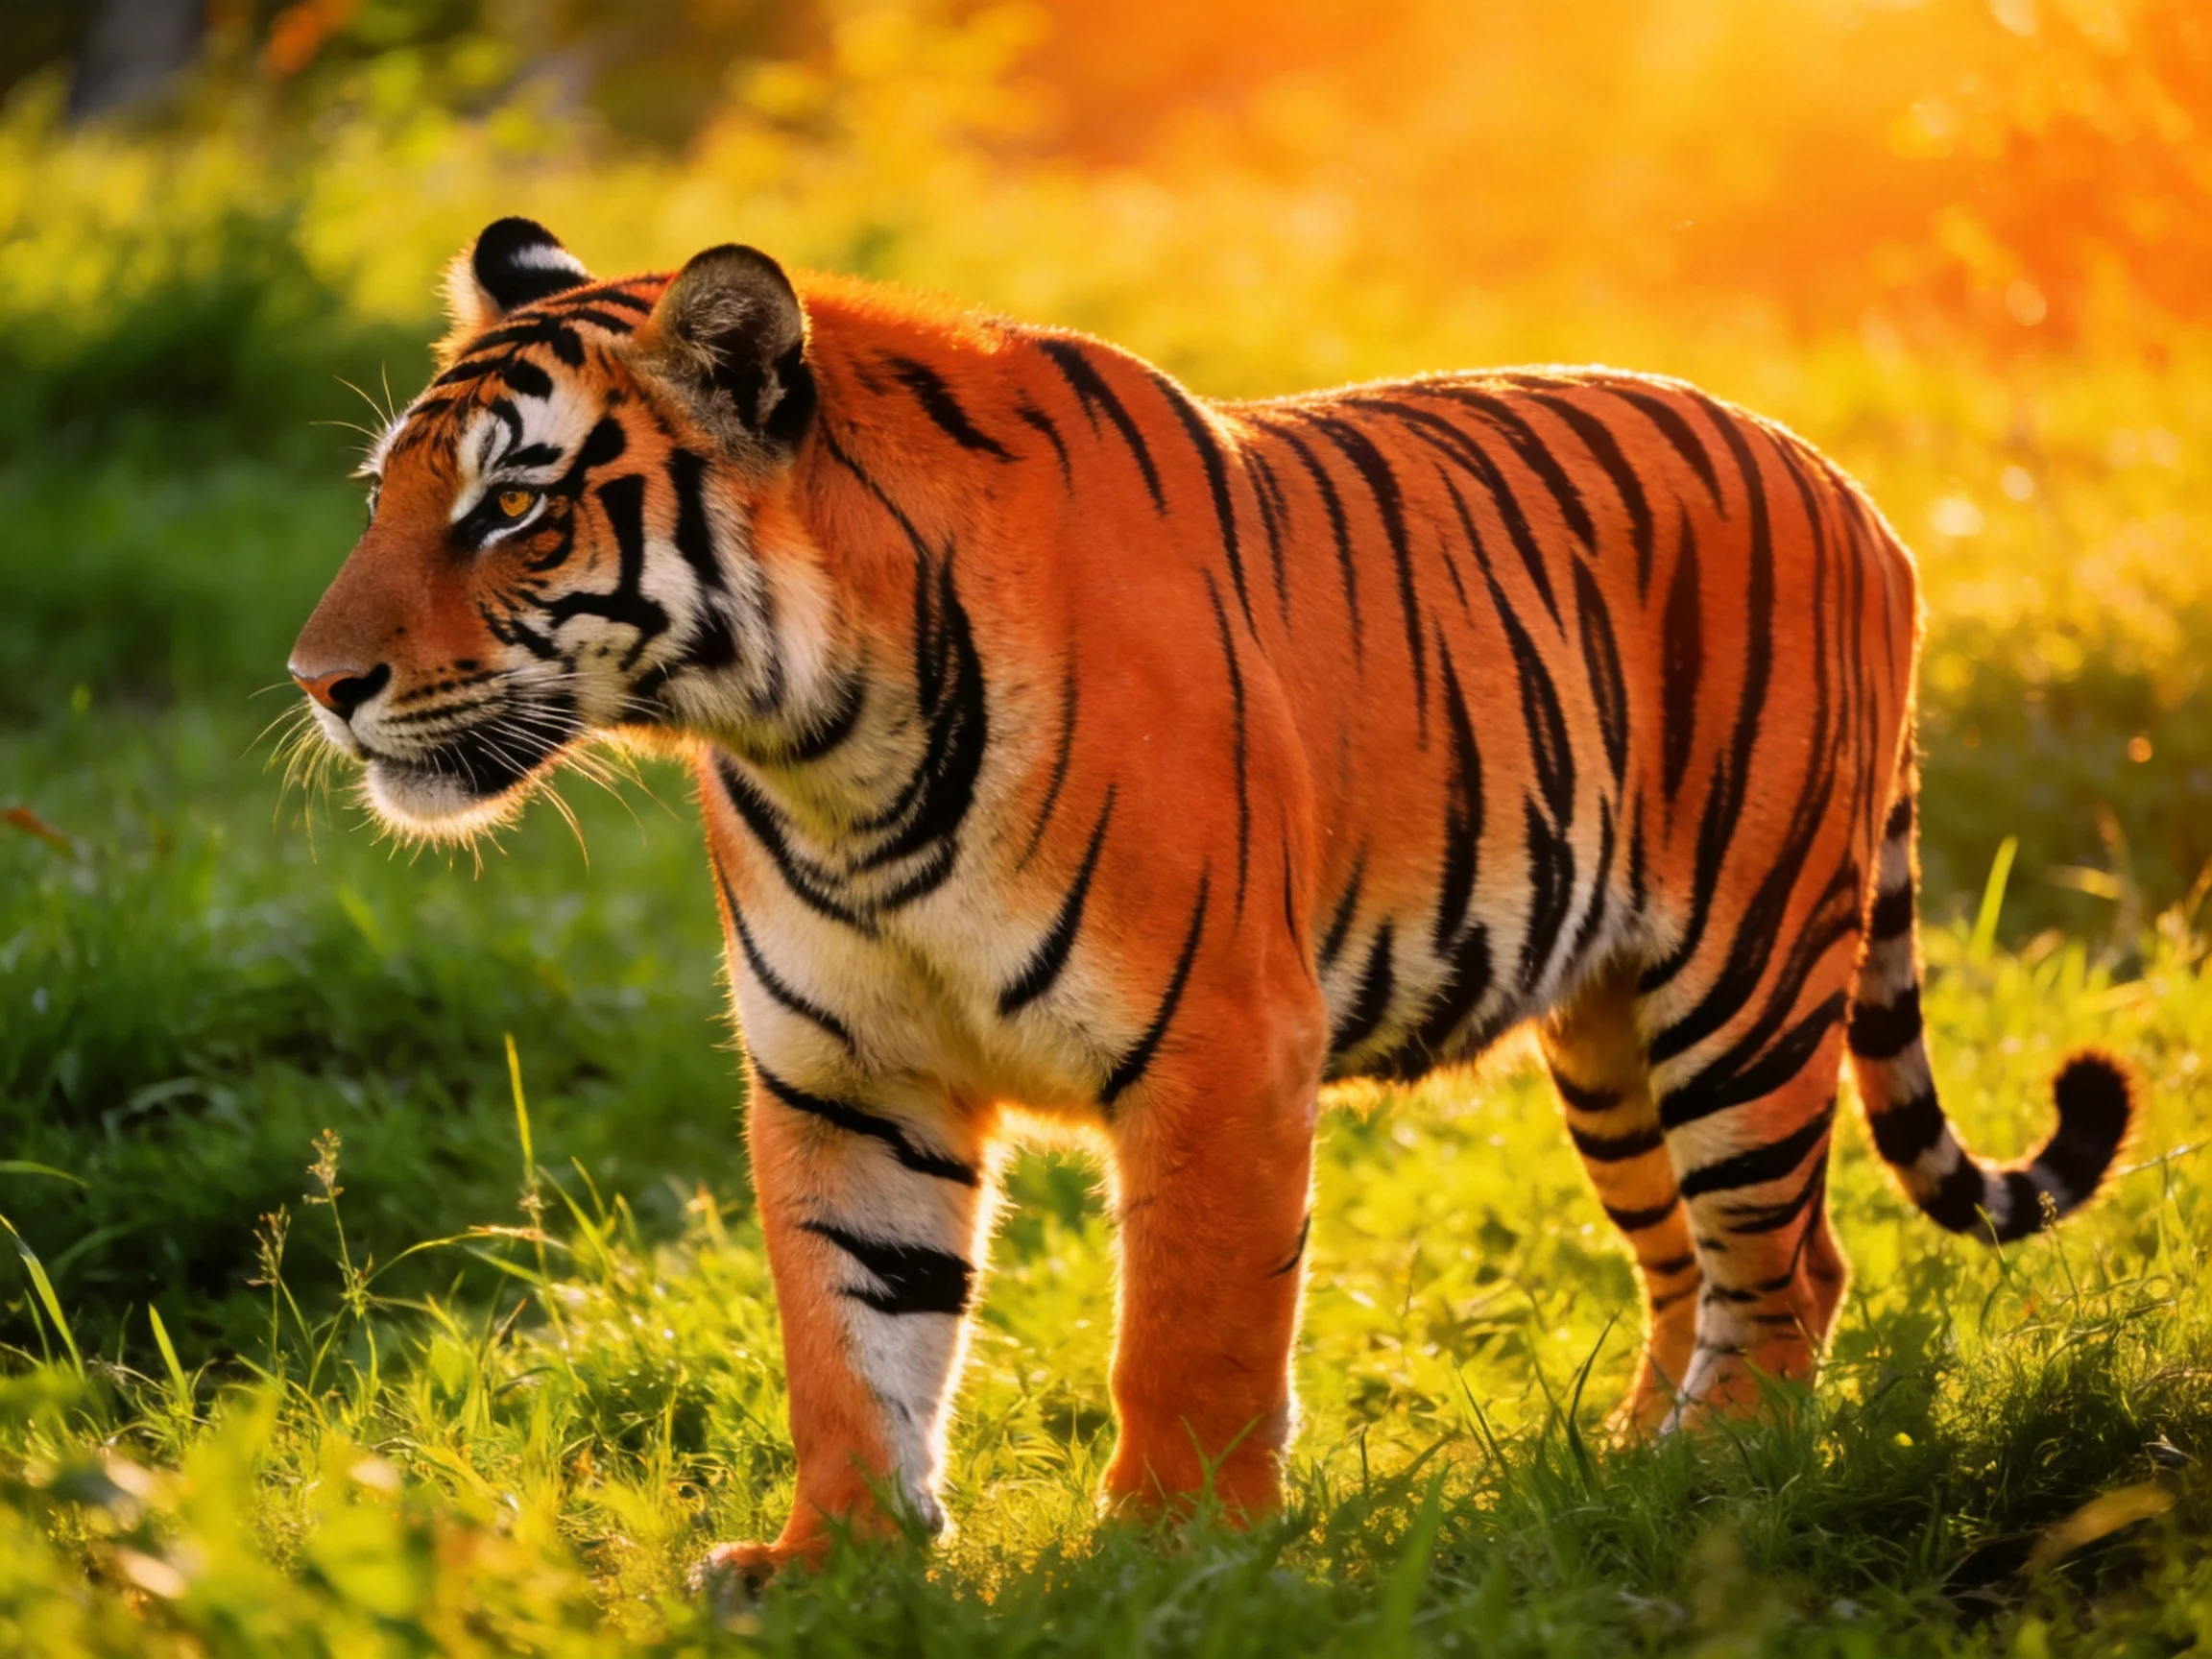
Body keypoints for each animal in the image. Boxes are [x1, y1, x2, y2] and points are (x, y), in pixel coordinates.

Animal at [289, 217, 2135, 1585]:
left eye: (513, 507)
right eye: (386, 497)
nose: (320, 683)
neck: (817, 744)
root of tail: (1847, 485)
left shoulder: (1217, 1048)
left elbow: (1184, 1332)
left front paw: (1165, 1562)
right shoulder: (845, 1073)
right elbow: (849, 1331)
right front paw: (835, 1563)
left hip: (1740, 988)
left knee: (1787, 1258)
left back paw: (1720, 1483)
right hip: (1608, 1042)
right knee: (1687, 1259)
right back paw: (1629, 1467)